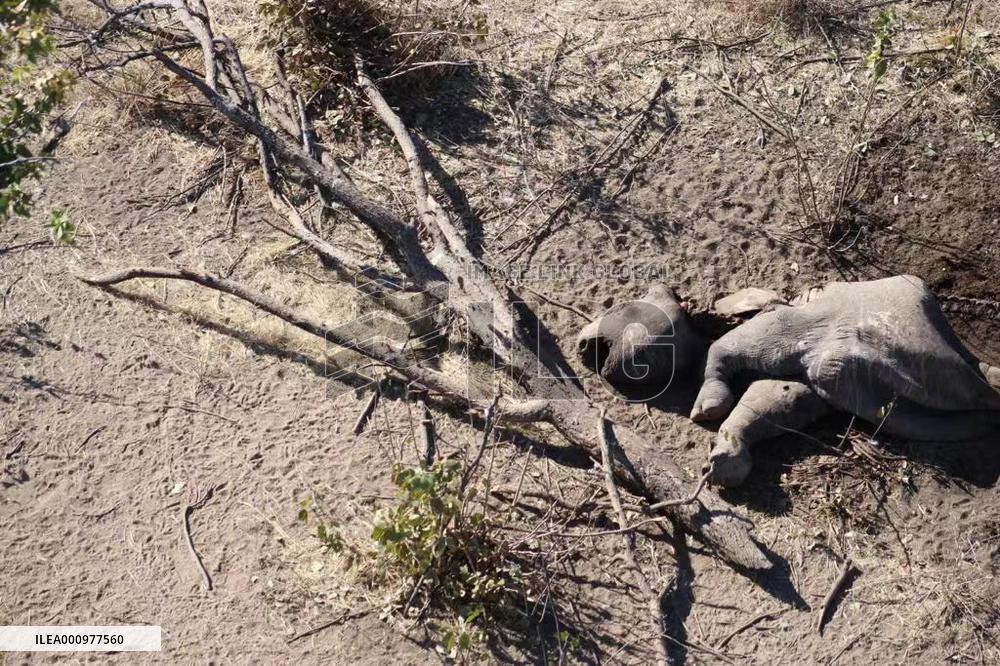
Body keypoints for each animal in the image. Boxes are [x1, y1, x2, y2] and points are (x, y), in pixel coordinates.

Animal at [577, 276, 1000, 488]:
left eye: (618, 307)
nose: (583, 345)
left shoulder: (784, 332)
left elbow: (723, 352)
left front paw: (709, 407)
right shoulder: (824, 379)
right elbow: (777, 401)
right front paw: (729, 453)